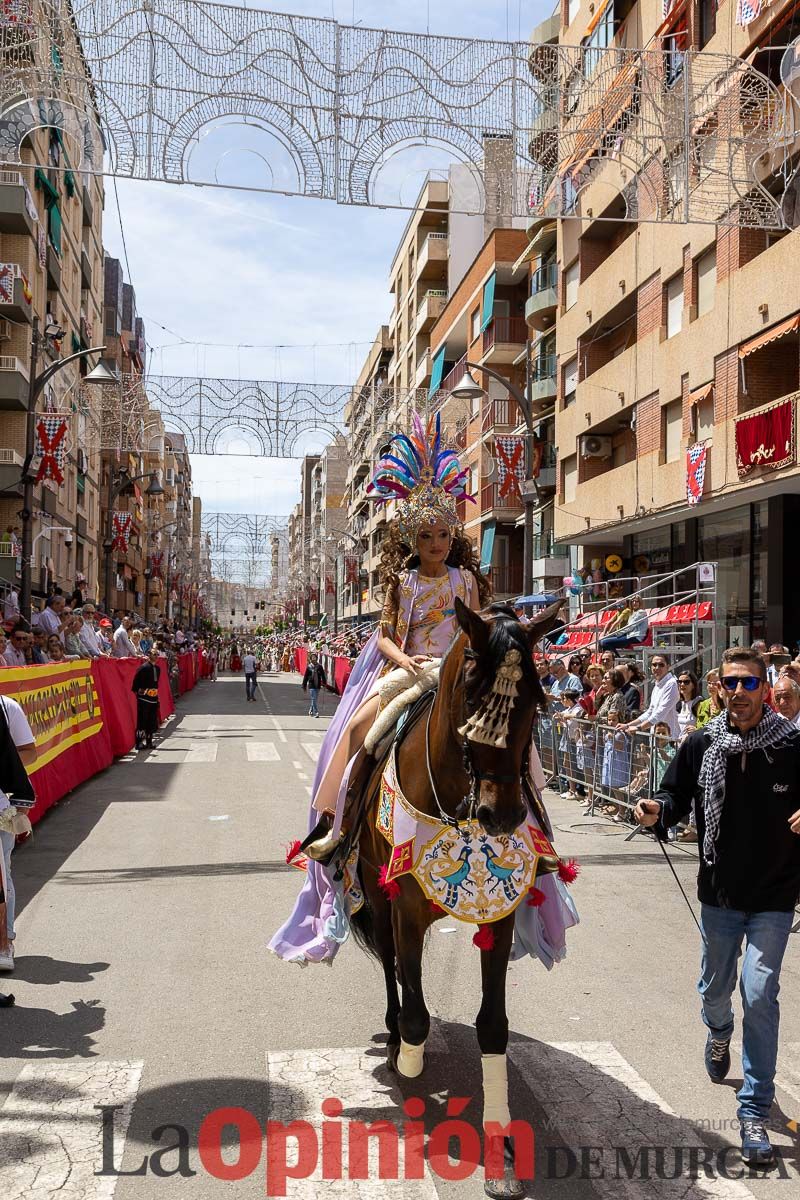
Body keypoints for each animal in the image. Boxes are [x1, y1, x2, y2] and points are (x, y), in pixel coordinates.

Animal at [350, 595, 563, 1195]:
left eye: (537, 699)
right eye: (472, 693)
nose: (503, 815)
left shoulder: (501, 916)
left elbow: (493, 1027)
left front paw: (500, 1151)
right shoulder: (403, 904)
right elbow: (417, 1014)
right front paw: (409, 1067)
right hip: (376, 895)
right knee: (392, 966)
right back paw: (393, 1031)